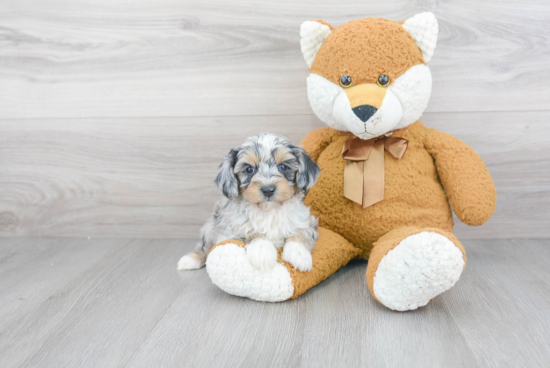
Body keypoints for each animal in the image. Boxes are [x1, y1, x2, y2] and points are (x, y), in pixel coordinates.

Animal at [179, 134, 322, 272]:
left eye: (283, 167)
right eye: (249, 169)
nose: (268, 190)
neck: (269, 210)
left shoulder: (307, 221)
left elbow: (302, 232)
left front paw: (299, 254)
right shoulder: (230, 229)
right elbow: (250, 229)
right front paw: (262, 252)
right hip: (210, 227)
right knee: (204, 247)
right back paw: (191, 259)